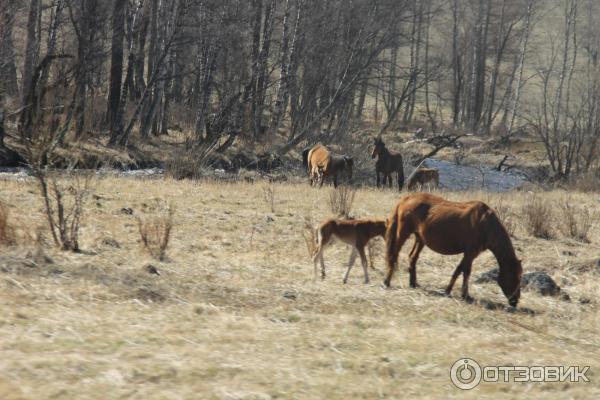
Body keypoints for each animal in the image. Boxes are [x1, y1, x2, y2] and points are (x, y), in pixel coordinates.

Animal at [384, 193, 520, 306]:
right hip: (403, 233)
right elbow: (465, 271)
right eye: (515, 277)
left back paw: (413, 283)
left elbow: (459, 270)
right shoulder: (470, 253)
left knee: (413, 257)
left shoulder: (470, 254)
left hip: (420, 238)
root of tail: (405, 199)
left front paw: (448, 290)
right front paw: (464, 295)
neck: (485, 224)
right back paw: (386, 282)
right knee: (394, 254)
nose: (515, 301)